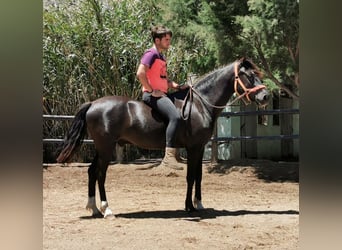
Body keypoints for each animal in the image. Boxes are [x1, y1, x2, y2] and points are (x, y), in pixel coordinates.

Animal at [55, 57, 270, 218]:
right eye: (248, 75)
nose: (266, 96)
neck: (199, 104)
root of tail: (92, 104)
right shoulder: (193, 148)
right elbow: (190, 176)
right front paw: (189, 207)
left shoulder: (200, 148)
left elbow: (199, 176)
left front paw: (199, 204)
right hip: (106, 148)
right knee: (100, 174)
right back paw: (106, 209)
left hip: (101, 148)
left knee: (92, 172)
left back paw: (93, 208)